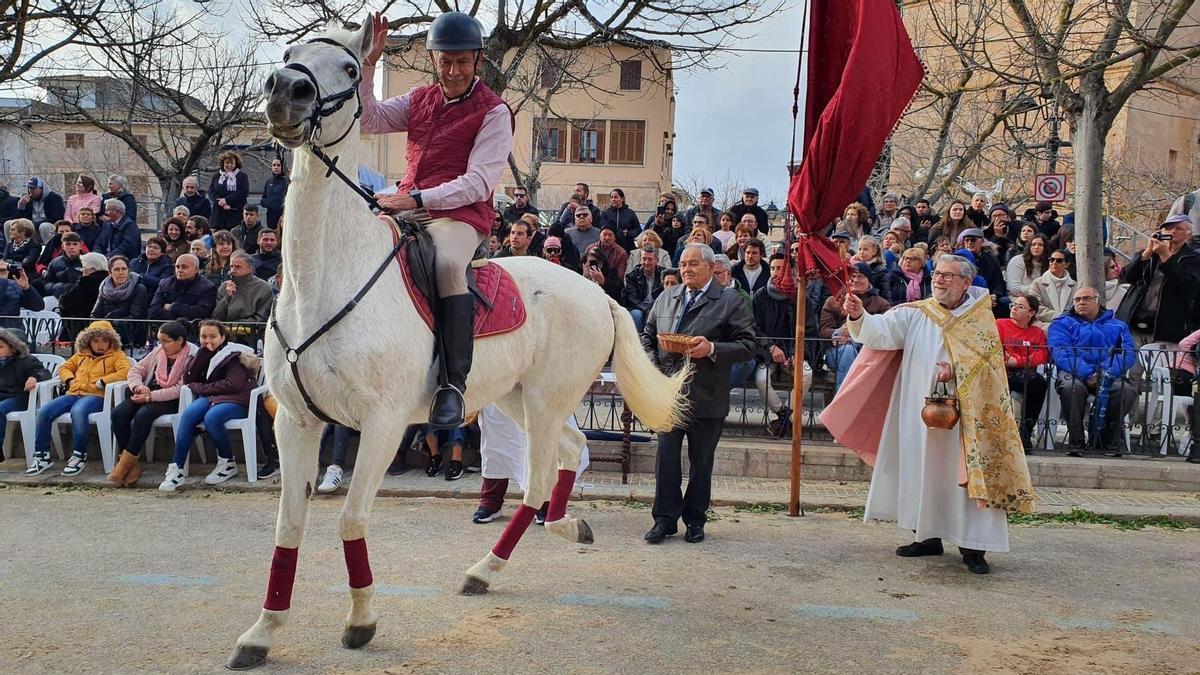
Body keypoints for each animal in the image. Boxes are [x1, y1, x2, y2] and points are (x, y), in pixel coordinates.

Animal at [228, 19, 691, 667]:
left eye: (348, 69)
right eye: (292, 54)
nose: (285, 92)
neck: (325, 280)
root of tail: (599, 295)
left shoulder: (381, 423)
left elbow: (349, 519)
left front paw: (362, 620)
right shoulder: (295, 421)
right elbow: (288, 528)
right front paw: (262, 632)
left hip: (543, 400)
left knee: (540, 480)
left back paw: (485, 568)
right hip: (518, 399)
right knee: (571, 453)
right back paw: (563, 528)